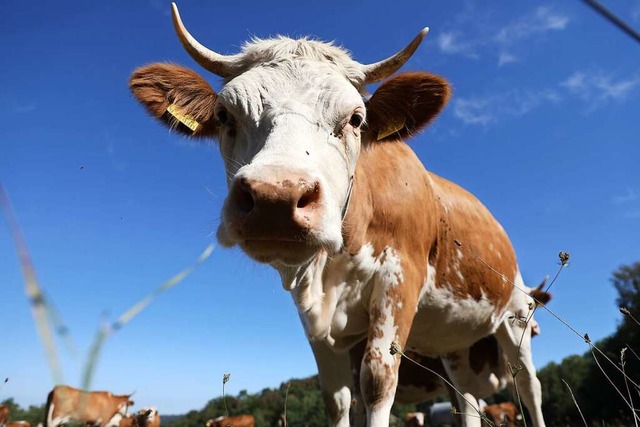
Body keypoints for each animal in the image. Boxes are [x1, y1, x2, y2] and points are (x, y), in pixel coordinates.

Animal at [130, 4, 544, 427]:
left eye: (356, 119)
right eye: (224, 115)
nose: (276, 196)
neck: (330, 268)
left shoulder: (399, 279)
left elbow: (376, 383)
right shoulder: (315, 319)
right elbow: (338, 397)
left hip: (517, 315)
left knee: (529, 385)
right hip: (454, 341)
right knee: (466, 398)